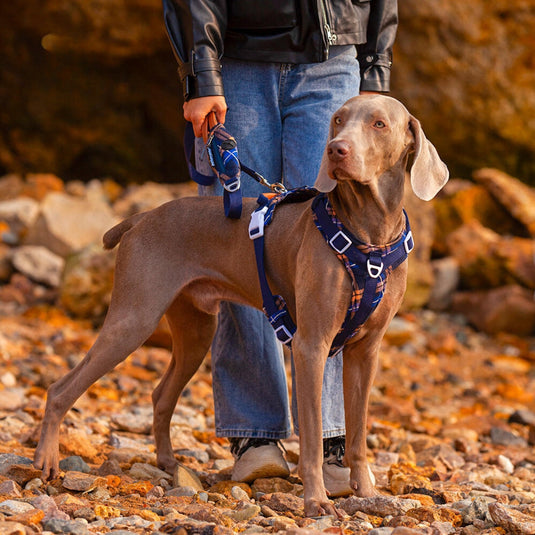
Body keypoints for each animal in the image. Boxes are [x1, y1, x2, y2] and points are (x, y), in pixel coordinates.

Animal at [34, 96, 448, 520]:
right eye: (338, 120)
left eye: (379, 124)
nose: (337, 150)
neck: (369, 236)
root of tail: (142, 217)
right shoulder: (311, 346)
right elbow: (311, 437)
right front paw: (316, 500)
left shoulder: (366, 352)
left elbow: (359, 433)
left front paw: (365, 491)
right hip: (133, 319)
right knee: (61, 389)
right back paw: (47, 460)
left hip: (196, 332)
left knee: (161, 395)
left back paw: (168, 463)